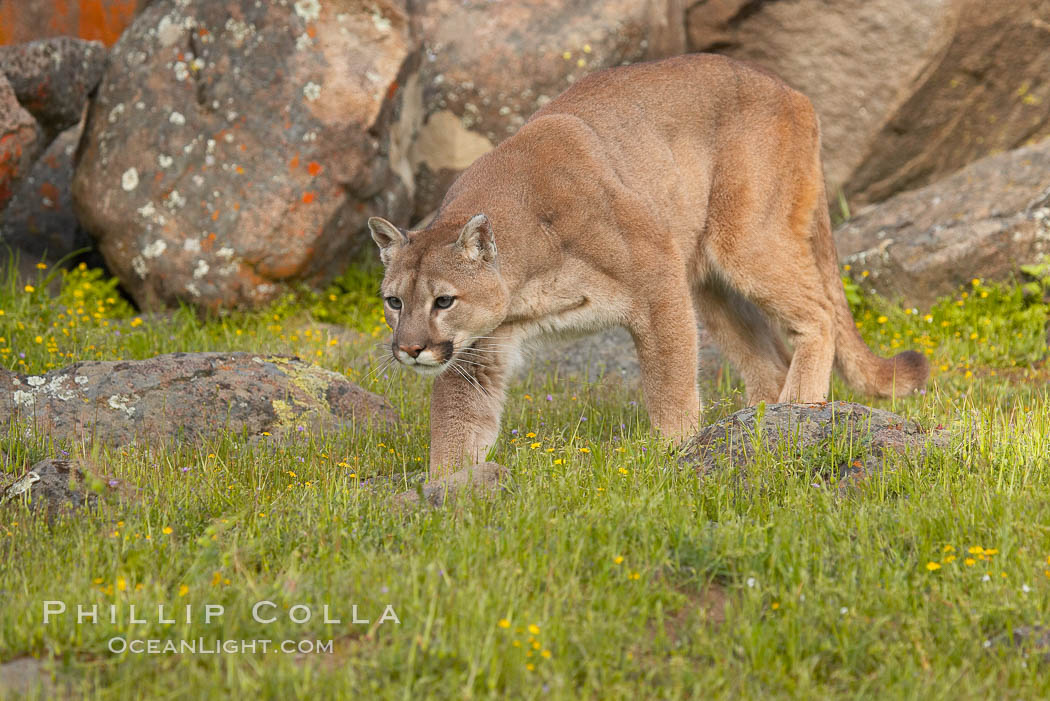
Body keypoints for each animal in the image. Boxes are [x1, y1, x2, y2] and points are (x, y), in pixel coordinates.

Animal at [367, 53, 928, 476]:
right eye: (394, 301)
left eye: (444, 301)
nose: (409, 349)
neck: (524, 277)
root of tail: (790, 89)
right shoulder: (478, 349)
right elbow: (459, 421)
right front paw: (448, 487)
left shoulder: (657, 275)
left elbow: (670, 378)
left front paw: (674, 449)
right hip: (709, 283)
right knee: (767, 357)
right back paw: (762, 418)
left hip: (744, 240)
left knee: (820, 312)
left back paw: (799, 408)